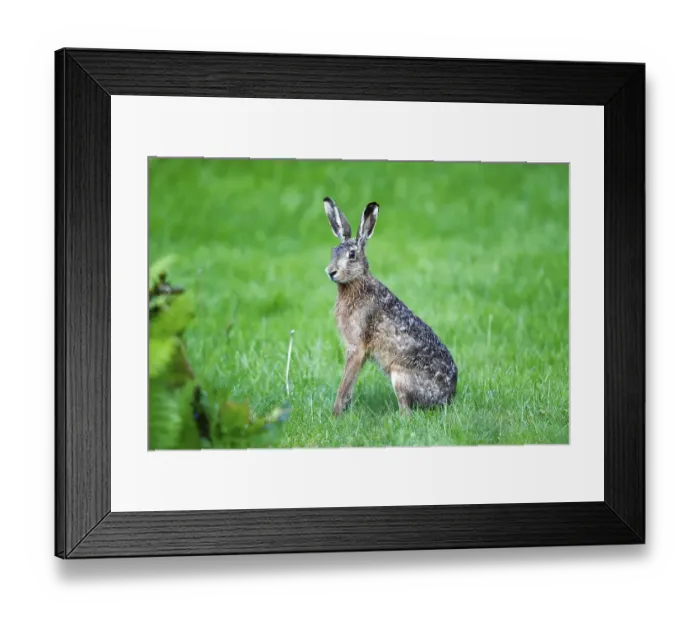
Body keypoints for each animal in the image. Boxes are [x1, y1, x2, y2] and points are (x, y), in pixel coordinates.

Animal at [323, 197, 458, 416]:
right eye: (333, 251)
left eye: (351, 255)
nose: (331, 271)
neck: (356, 284)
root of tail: (447, 398)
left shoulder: (357, 347)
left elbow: (345, 382)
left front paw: (335, 414)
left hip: (399, 377)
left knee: (406, 412)